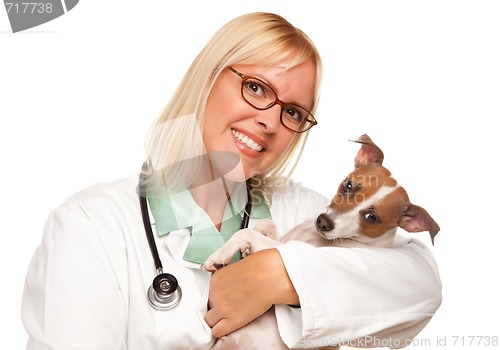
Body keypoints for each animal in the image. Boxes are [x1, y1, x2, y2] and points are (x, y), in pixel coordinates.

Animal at [201, 135, 440, 350]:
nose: (323, 222)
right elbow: (268, 224)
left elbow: (245, 234)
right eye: (348, 185)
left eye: (371, 217)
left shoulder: (286, 251)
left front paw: (221, 255)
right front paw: (253, 240)